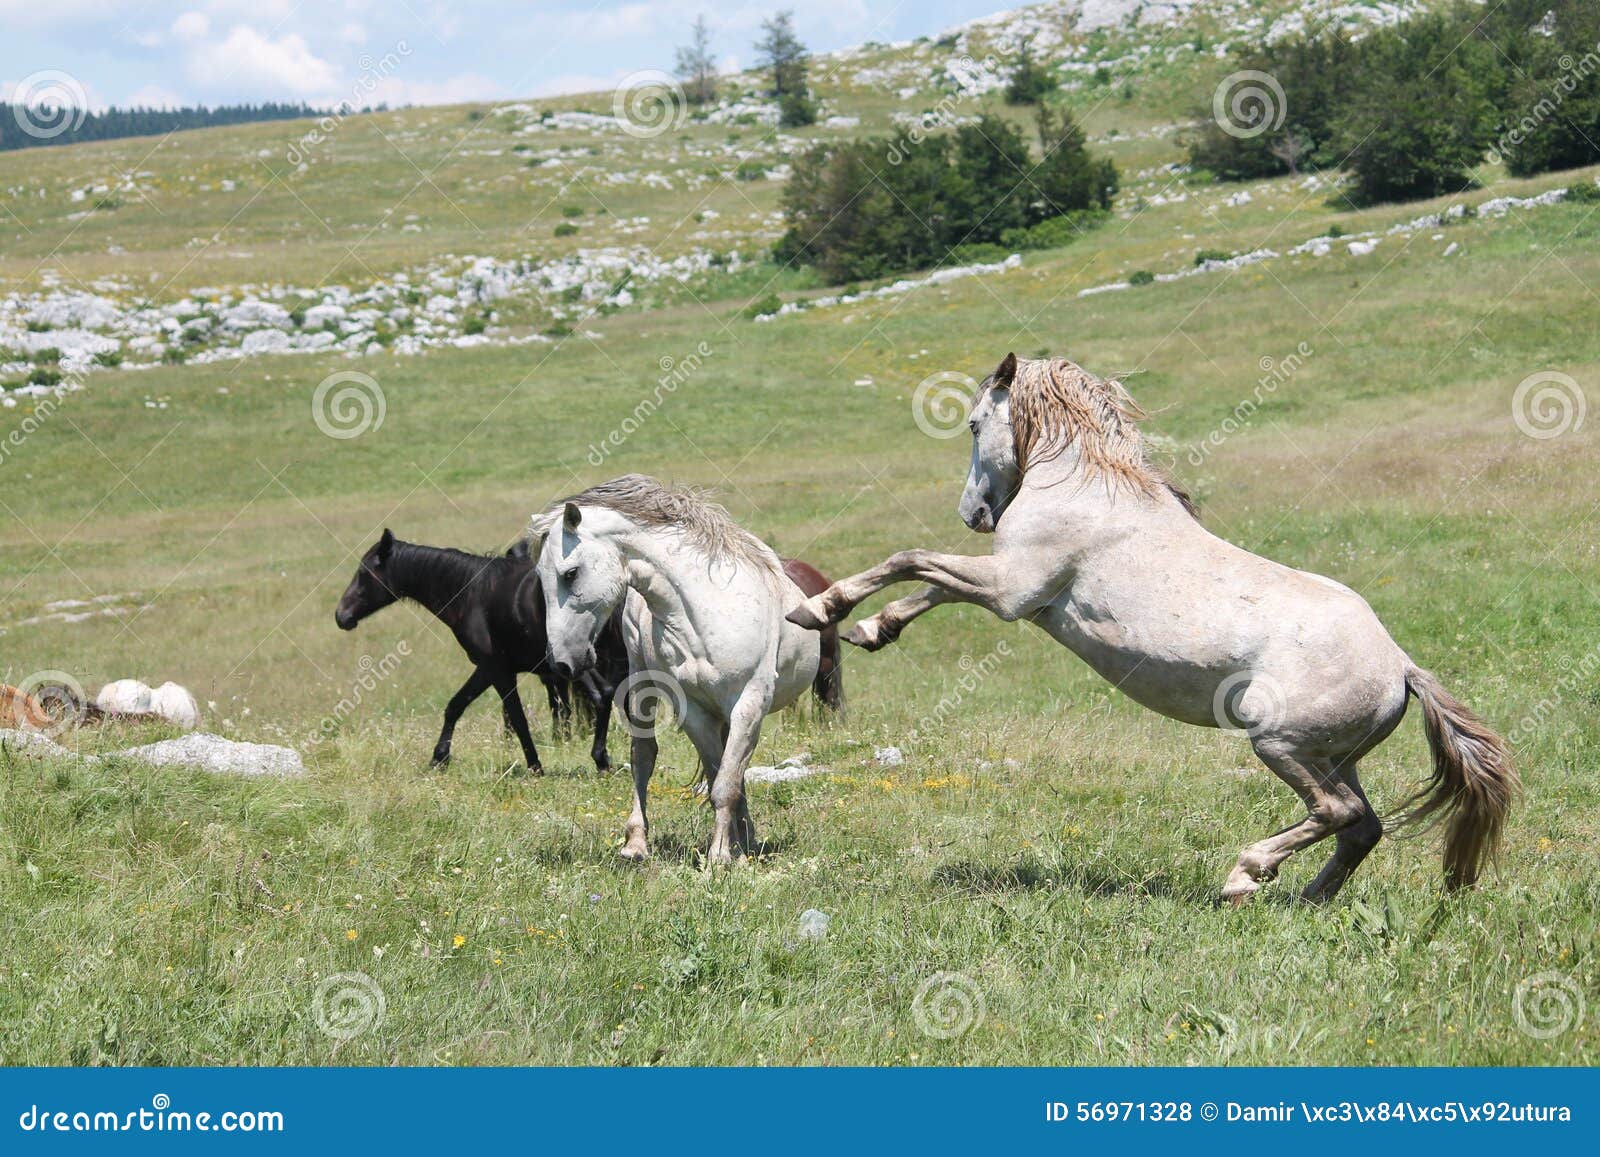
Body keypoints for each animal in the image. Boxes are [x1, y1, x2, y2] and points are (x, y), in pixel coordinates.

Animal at [332, 528, 624, 774]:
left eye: (364, 573)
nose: (341, 616)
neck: (471, 592)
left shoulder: (496, 670)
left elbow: (516, 718)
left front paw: (535, 767)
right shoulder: (490, 671)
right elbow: (455, 706)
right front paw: (439, 759)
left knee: (601, 695)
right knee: (605, 694)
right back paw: (602, 761)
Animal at [531, 473, 825, 864]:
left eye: (570, 573)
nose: (562, 661)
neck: (704, 612)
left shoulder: (748, 704)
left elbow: (727, 782)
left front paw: (722, 855)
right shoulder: (694, 711)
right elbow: (718, 778)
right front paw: (725, 851)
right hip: (643, 687)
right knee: (643, 756)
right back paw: (636, 844)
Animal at [793, 353, 1516, 902]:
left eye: (974, 423)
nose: (974, 513)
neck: (1084, 487)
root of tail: (1401, 667)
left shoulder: (1011, 589)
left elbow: (909, 561)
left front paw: (820, 608)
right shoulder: (1014, 589)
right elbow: (929, 585)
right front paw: (871, 628)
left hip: (1278, 741)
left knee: (1337, 814)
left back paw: (1244, 878)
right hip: (1334, 755)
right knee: (1361, 828)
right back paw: (1307, 899)